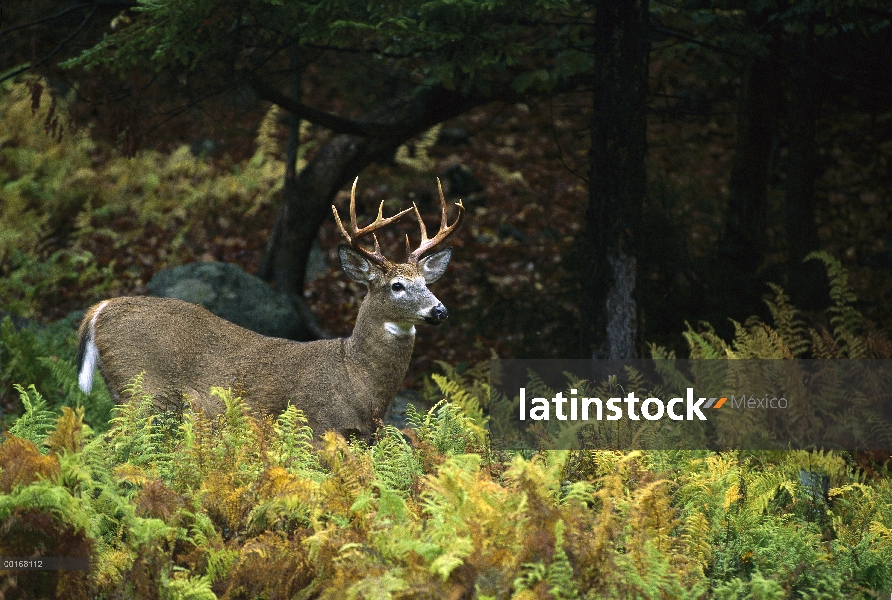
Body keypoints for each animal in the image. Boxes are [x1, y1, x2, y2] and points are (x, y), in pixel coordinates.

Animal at [76, 178, 464, 440]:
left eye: (427, 283)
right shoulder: (319, 427)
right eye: (397, 286)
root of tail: (99, 310)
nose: (440, 311)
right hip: (140, 388)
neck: (359, 381)